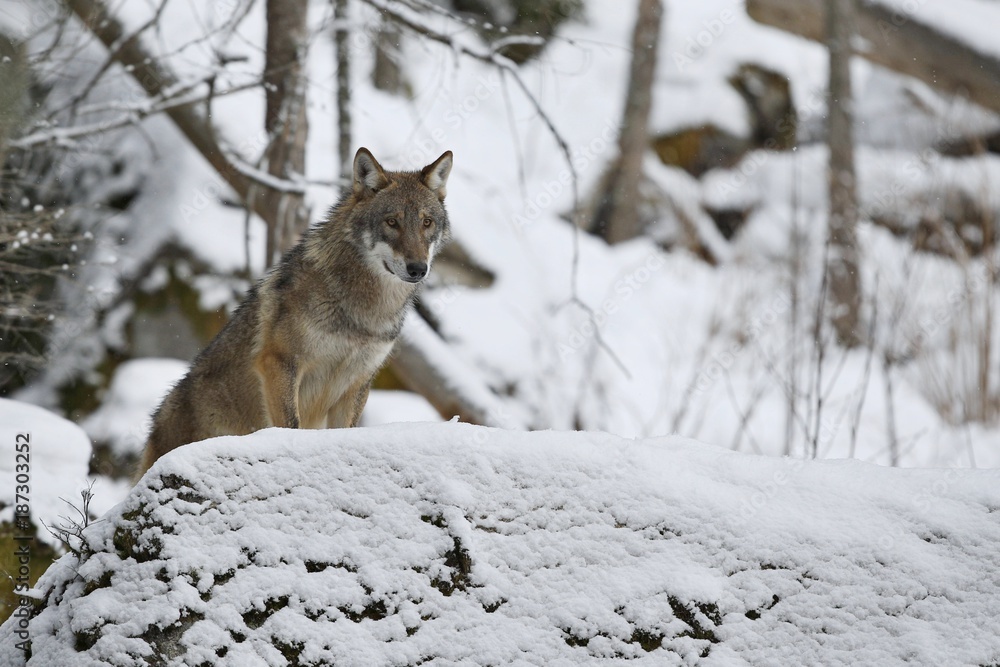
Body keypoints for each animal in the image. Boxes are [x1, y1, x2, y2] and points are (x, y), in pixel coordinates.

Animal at [136, 147, 453, 478]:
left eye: (427, 222)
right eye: (392, 222)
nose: (418, 268)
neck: (363, 311)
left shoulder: (356, 383)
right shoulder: (280, 363)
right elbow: (290, 425)